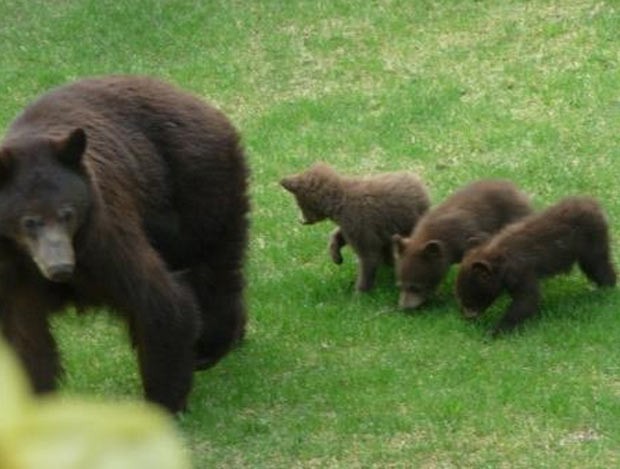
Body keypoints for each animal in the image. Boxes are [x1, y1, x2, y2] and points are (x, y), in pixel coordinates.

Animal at [0, 75, 249, 412]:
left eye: (68, 213)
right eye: (29, 221)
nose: (60, 267)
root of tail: (195, 100)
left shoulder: (103, 239)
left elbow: (158, 301)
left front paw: (164, 401)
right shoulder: (10, 273)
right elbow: (25, 340)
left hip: (197, 189)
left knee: (212, 266)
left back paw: (212, 345)